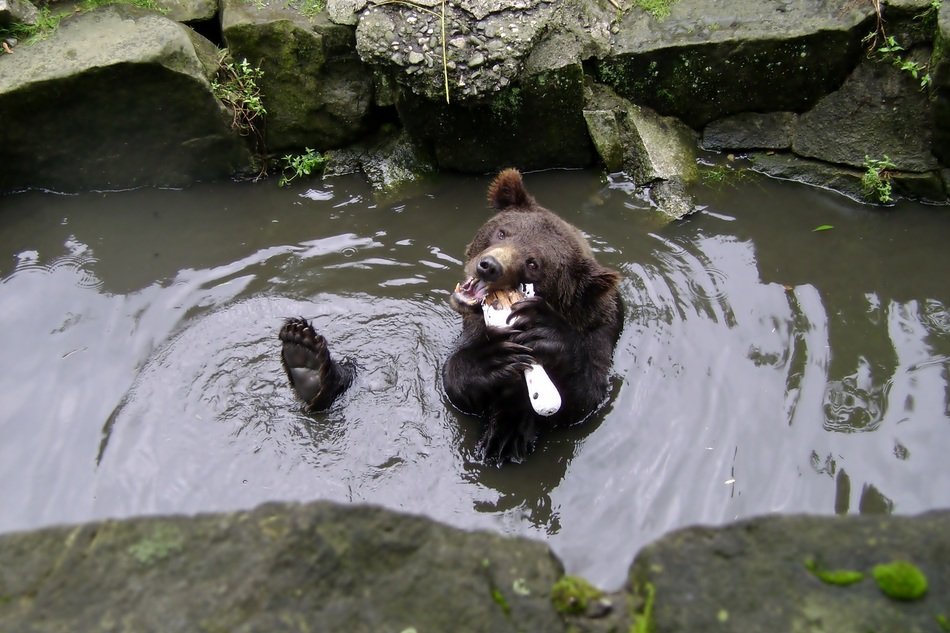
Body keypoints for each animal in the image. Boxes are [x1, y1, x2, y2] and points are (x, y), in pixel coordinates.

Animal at [279, 168, 623, 464]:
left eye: (534, 262)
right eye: (503, 231)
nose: (489, 265)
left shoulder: (599, 331)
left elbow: (584, 399)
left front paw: (542, 331)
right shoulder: (471, 329)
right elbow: (455, 379)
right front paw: (494, 359)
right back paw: (305, 357)